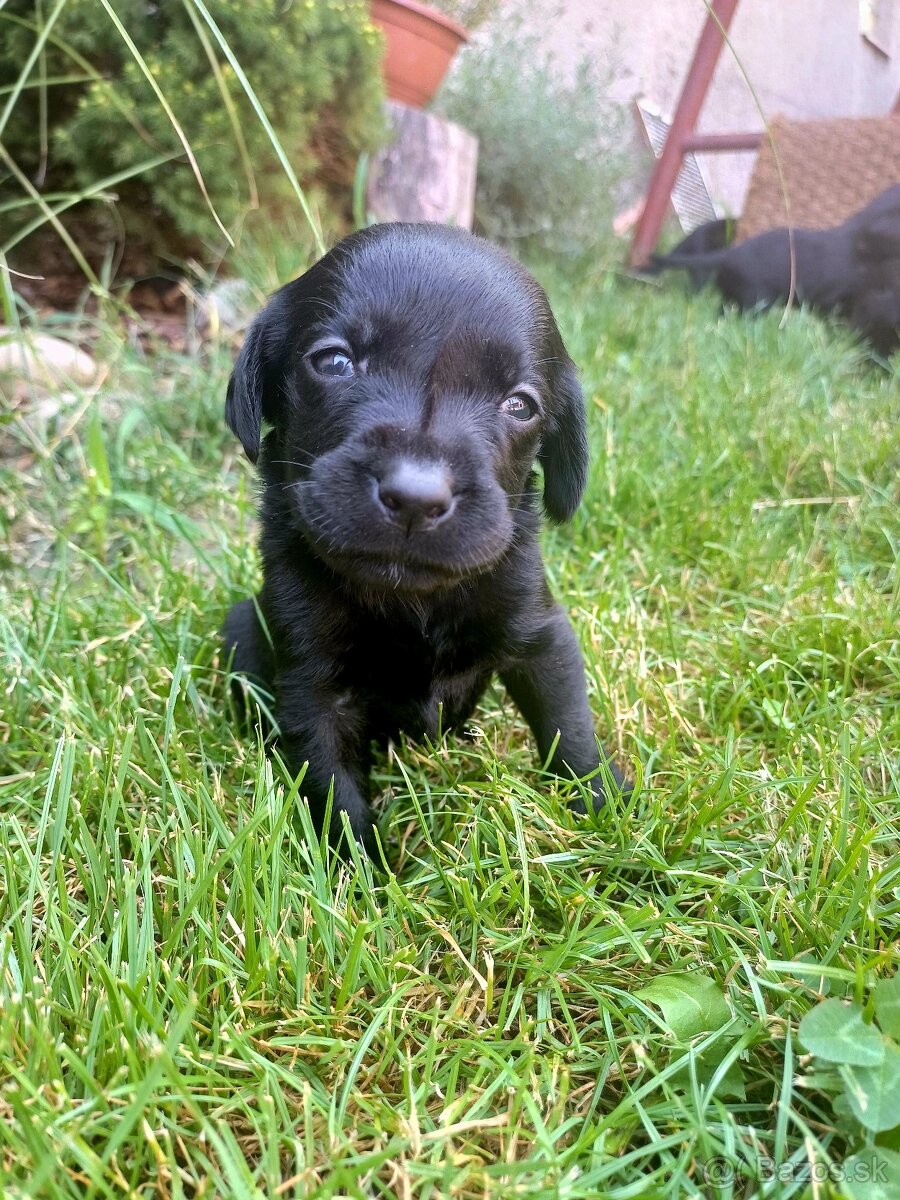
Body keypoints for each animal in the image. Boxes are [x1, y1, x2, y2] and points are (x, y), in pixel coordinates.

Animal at [224, 220, 628, 849]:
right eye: (334, 362)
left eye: (519, 404)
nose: (415, 498)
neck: (411, 598)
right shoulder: (314, 685)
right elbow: (333, 787)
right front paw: (361, 866)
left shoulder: (541, 636)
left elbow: (569, 726)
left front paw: (603, 806)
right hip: (242, 624)